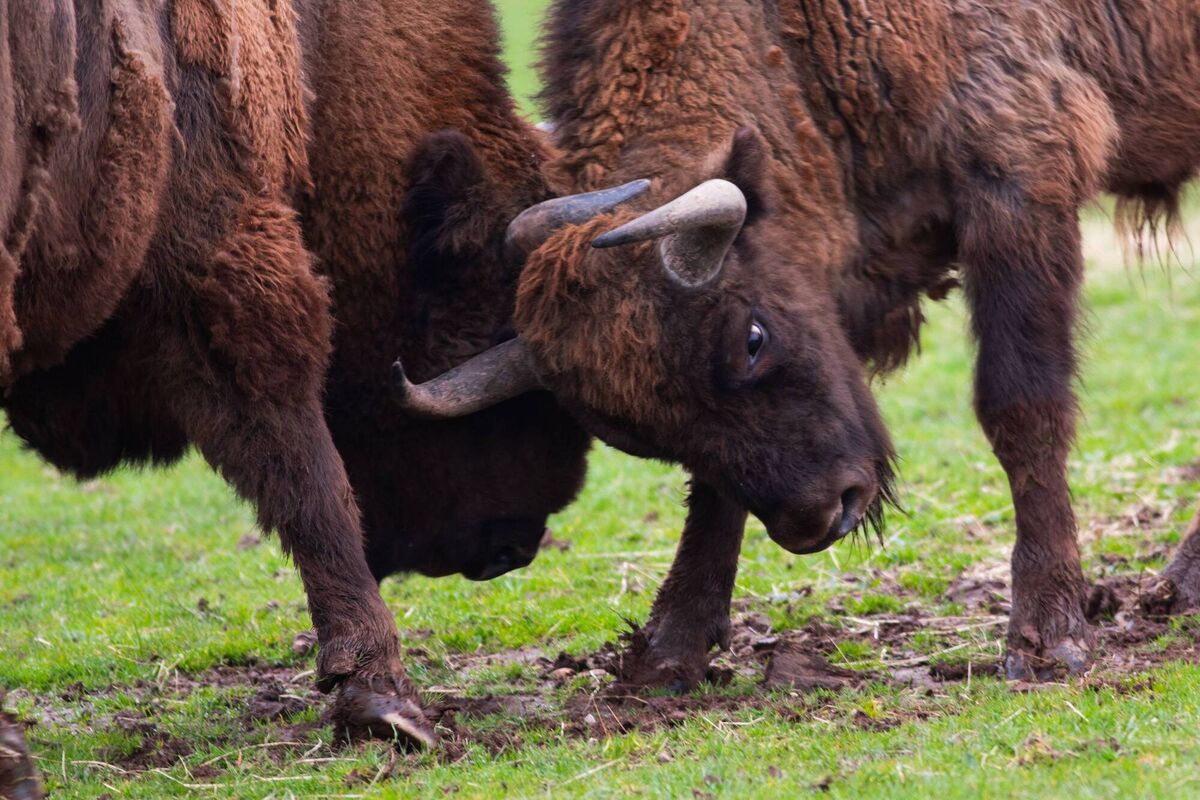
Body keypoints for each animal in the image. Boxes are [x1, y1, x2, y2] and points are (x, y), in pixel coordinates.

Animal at [398, 0, 1200, 687]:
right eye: (638, 436)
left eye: (753, 338)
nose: (823, 516)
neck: (796, 40)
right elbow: (714, 490)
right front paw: (669, 652)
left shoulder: (1019, 182)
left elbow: (1020, 408)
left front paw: (1048, 641)